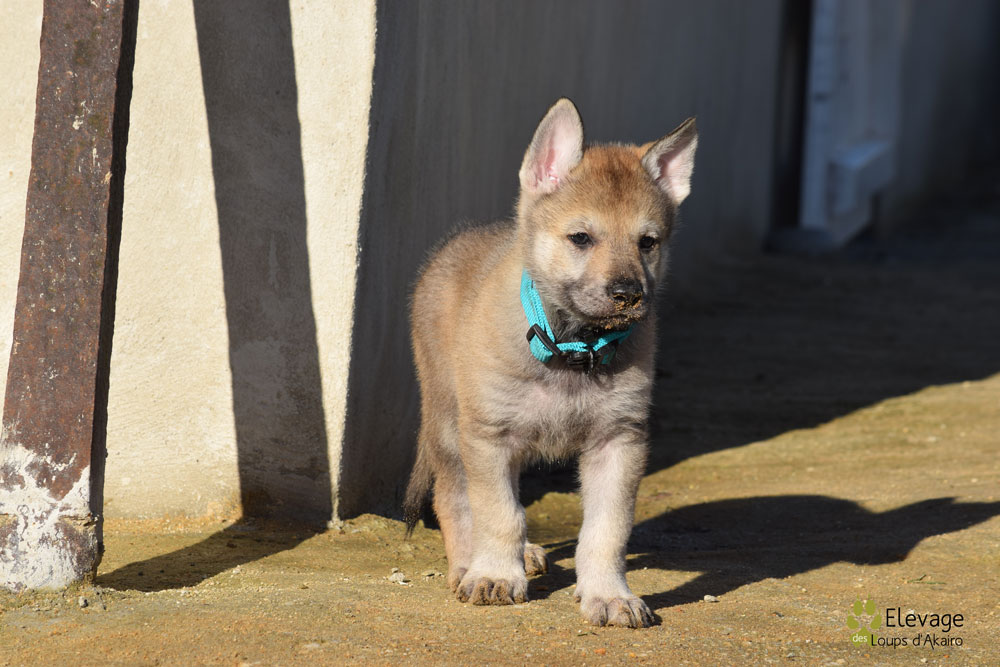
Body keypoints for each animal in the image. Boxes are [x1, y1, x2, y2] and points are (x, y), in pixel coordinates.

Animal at [404, 98, 696, 627]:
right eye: (580, 238)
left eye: (647, 242)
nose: (628, 295)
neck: (572, 350)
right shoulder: (489, 435)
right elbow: (499, 513)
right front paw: (496, 575)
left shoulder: (619, 441)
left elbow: (607, 530)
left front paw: (609, 595)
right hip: (449, 425)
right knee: (454, 497)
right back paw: (467, 565)